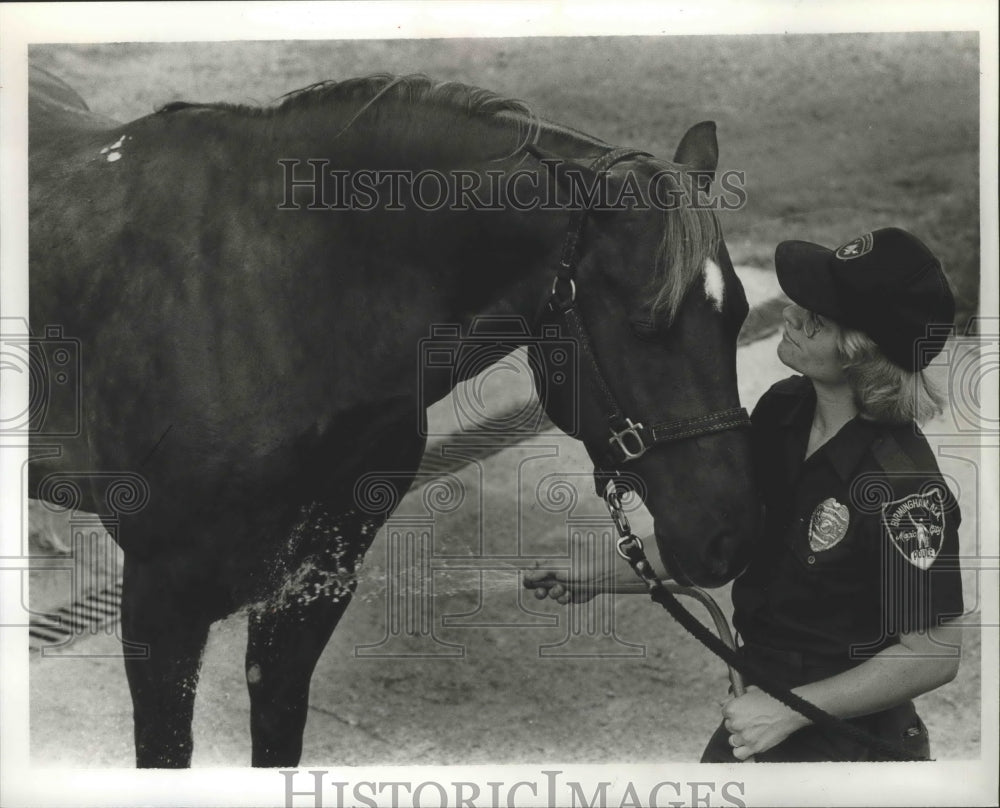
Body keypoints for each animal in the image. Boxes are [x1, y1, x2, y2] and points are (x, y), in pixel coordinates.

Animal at [25, 66, 756, 768]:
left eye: (740, 314)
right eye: (647, 322)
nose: (728, 535)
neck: (267, 300)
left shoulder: (313, 585)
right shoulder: (161, 605)